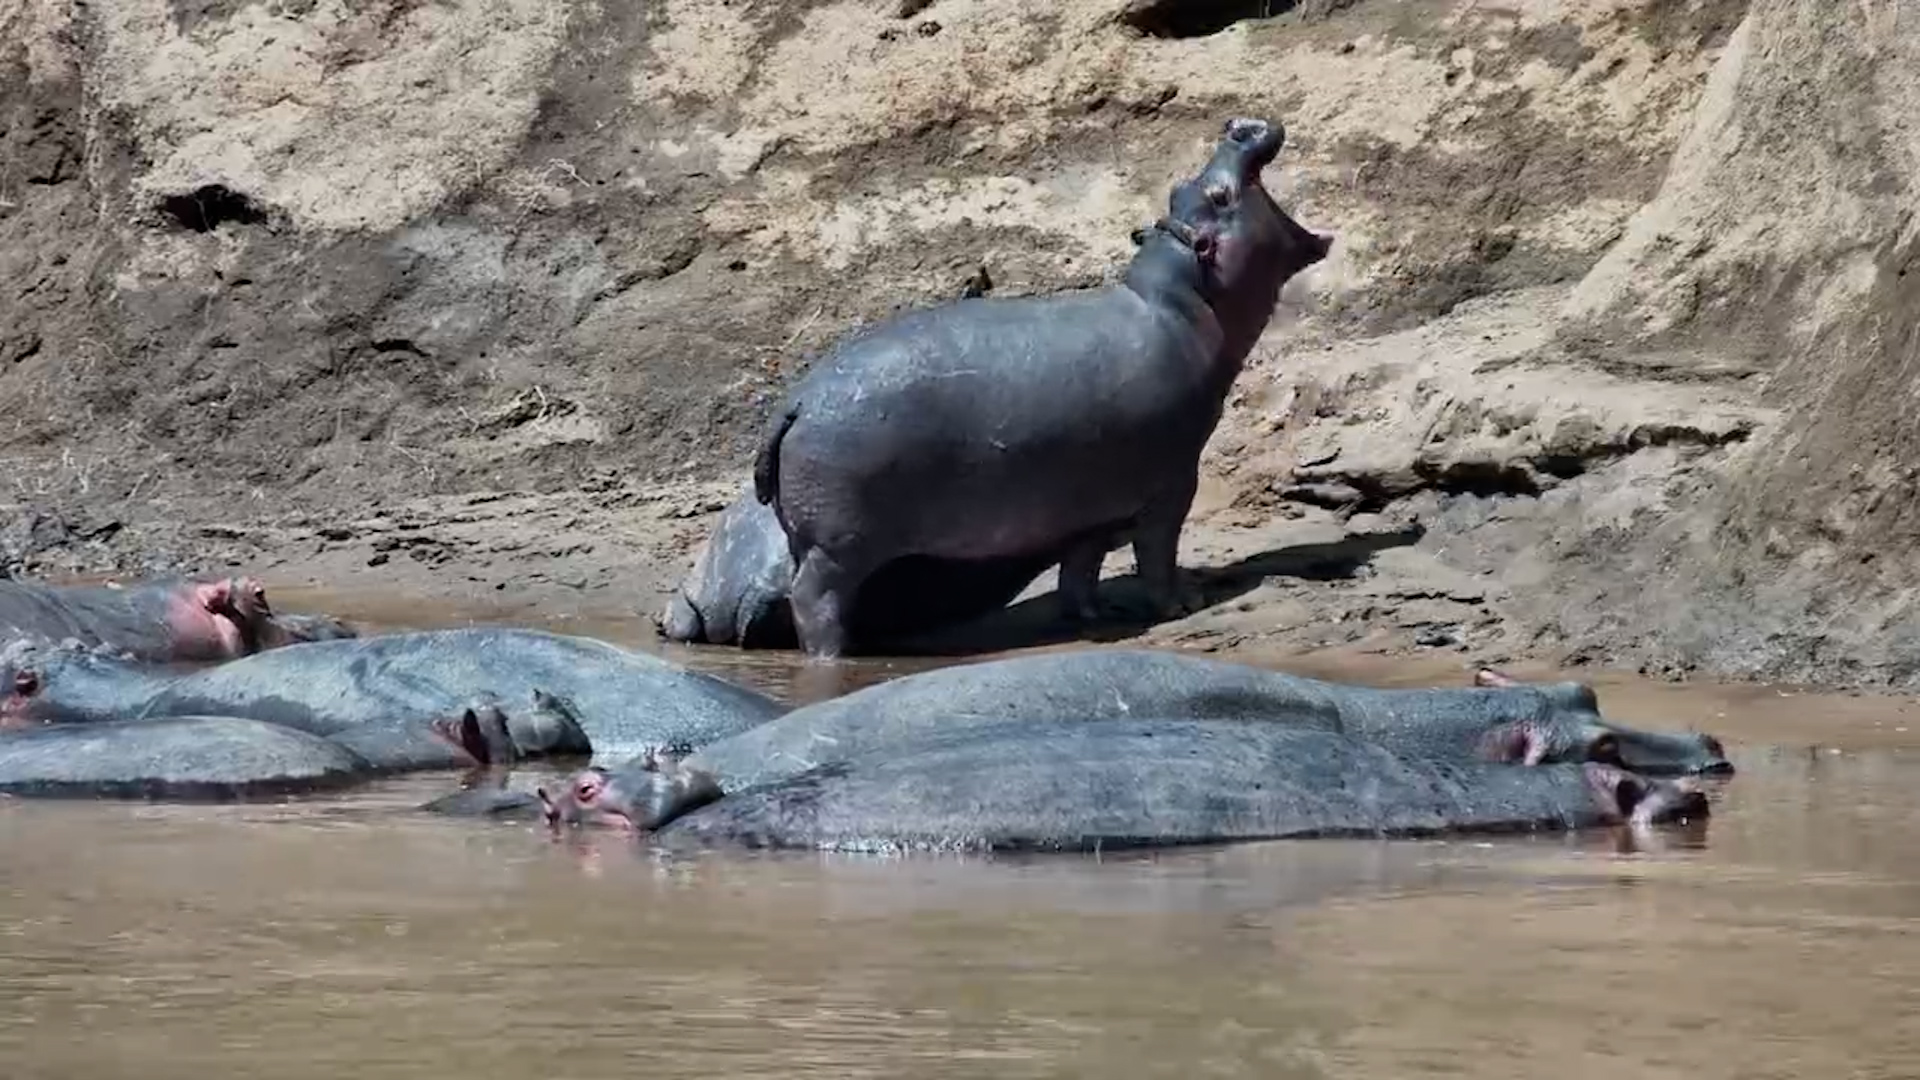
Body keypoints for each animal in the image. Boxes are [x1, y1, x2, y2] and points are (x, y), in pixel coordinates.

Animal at [751, 117, 1332, 657]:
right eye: (1219, 196)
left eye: (1181, 189)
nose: (1237, 127)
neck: (1182, 301)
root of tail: (796, 402)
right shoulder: (1172, 483)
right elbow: (1157, 555)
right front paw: (1183, 604)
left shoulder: (1092, 504)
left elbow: (1081, 567)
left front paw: (1095, 615)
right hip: (839, 548)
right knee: (815, 600)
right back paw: (835, 656)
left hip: (812, 538)